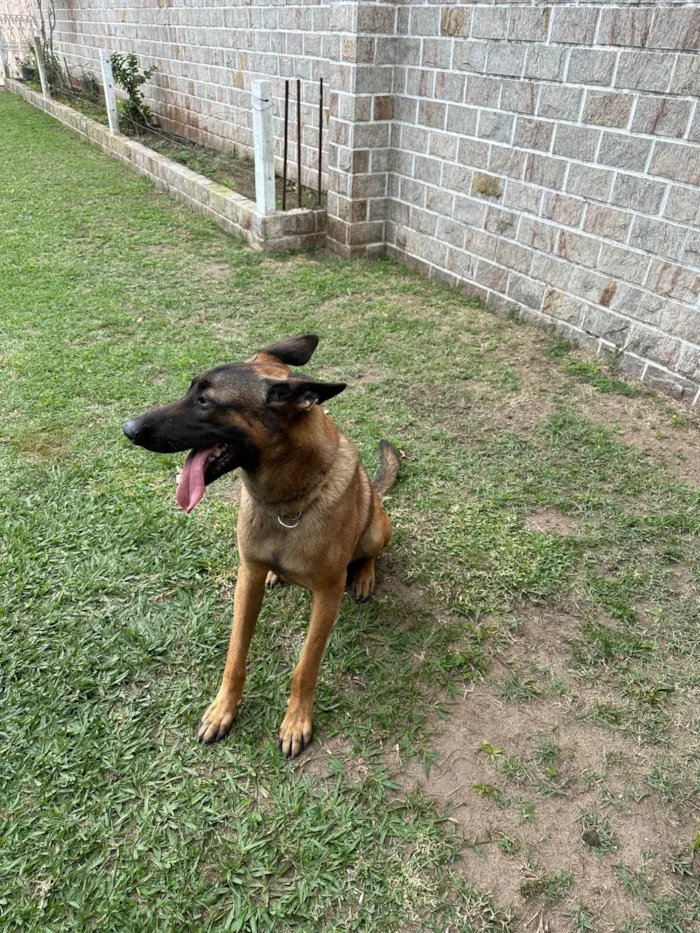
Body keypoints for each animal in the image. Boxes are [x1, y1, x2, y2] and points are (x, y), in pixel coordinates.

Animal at [123, 334, 402, 756]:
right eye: (191, 390)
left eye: (205, 401)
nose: (128, 428)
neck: (286, 505)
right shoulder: (248, 576)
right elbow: (235, 654)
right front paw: (223, 708)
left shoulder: (327, 593)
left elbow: (306, 665)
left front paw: (296, 720)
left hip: (375, 527)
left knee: (371, 551)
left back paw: (365, 576)